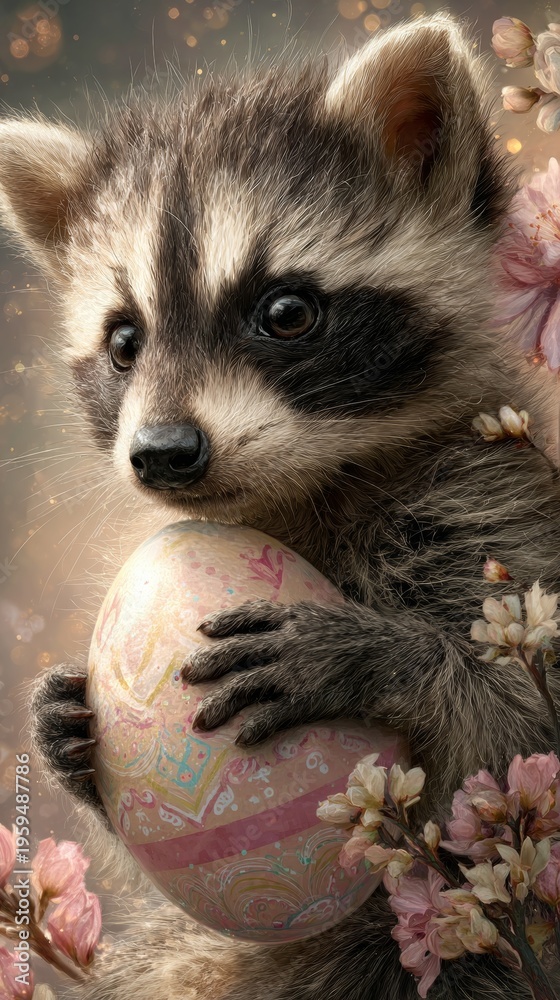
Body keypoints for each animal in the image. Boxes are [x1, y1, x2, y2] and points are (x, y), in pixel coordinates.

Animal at [1, 13, 560, 999]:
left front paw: (386, 657)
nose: (164, 453)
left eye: (287, 311)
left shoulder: (493, 508)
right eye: (124, 339)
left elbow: (522, 728)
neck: (305, 486)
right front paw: (61, 731)